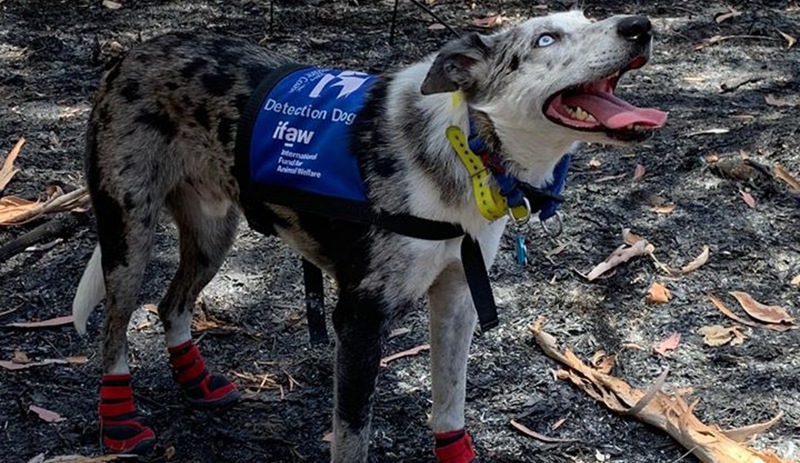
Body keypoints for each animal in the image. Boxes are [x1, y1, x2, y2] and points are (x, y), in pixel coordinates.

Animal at [72, 10, 664, 463]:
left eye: (587, 17)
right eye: (546, 39)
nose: (640, 26)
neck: (467, 148)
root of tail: (132, 54)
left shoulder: (457, 298)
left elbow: (449, 406)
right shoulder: (359, 321)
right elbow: (352, 439)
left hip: (213, 234)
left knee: (171, 304)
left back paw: (195, 380)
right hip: (128, 237)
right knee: (116, 328)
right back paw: (119, 422)